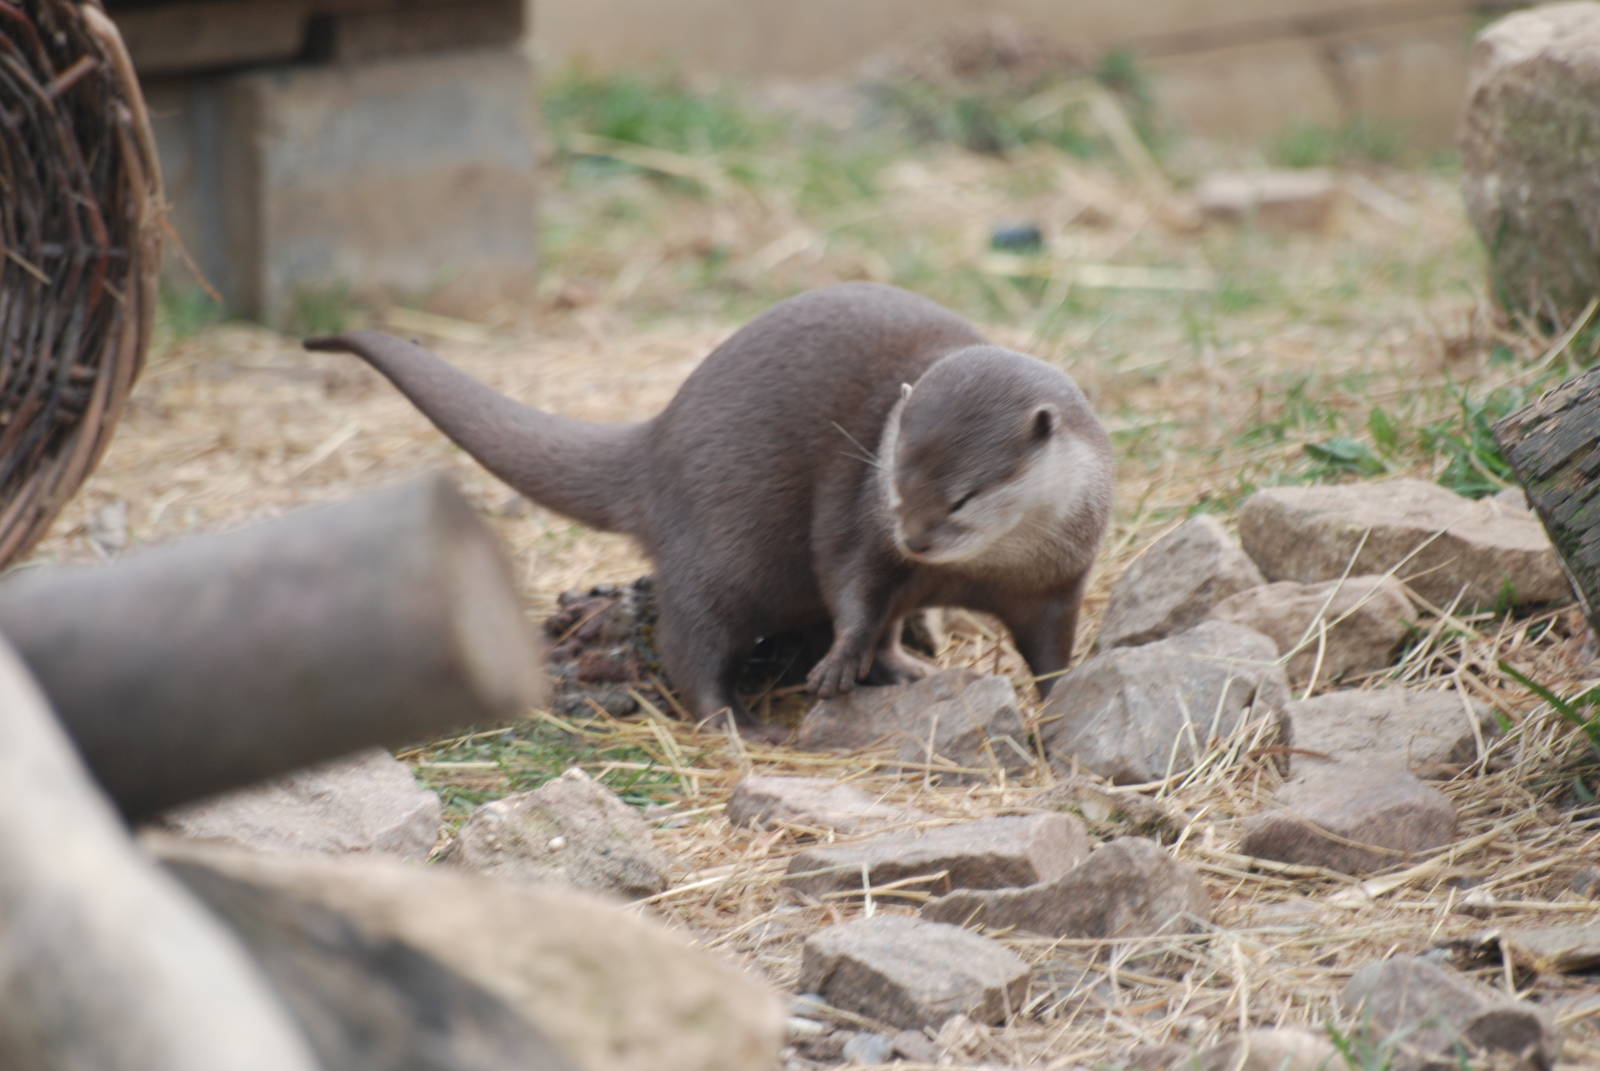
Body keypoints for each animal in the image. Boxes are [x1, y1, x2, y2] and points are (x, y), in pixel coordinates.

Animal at [306, 283, 1113, 731]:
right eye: (892, 479)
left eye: (961, 496)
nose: (912, 537)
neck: (984, 570)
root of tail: (657, 439)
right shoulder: (857, 522)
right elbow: (854, 593)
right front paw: (843, 668)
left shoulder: (1056, 580)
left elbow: (1048, 646)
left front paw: (1058, 695)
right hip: (717, 546)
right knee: (691, 641)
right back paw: (740, 723)